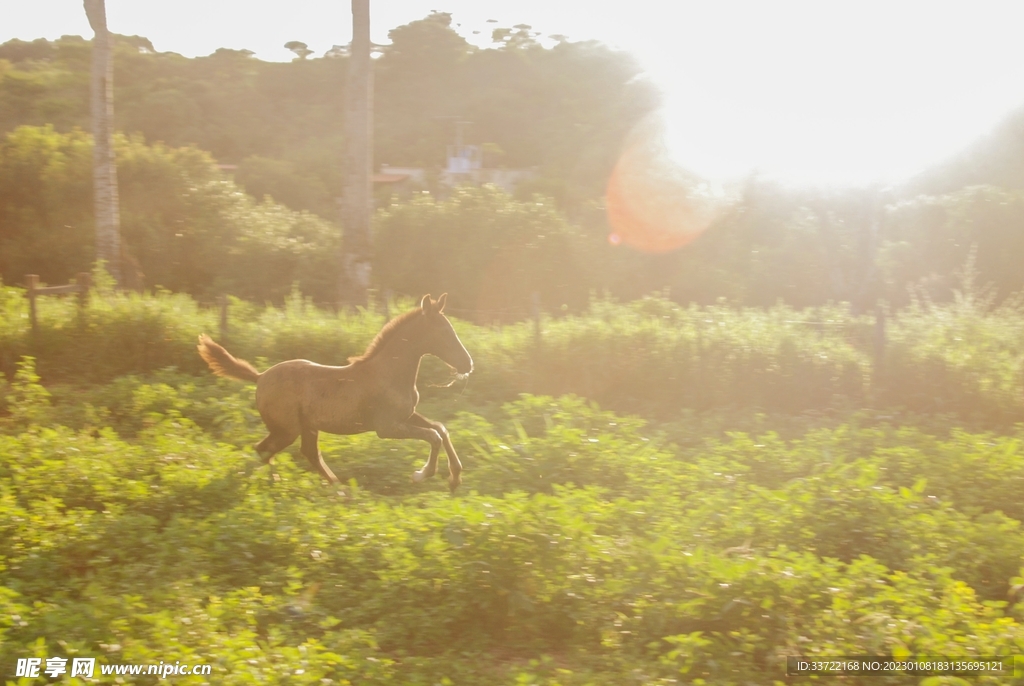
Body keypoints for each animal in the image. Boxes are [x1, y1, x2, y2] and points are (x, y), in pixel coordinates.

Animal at [197, 294, 473, 492]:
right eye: (444, 332)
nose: (467, 364)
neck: (388, 373)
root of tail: (260, 376)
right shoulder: (387, 427)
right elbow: (433, 436)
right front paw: (421, 475)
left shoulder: (406, 416)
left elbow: (440, 429)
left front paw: (455, 478)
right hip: (287, 429)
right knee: (265, 449)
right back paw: (275, 483)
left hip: (307, 427)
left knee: (306, 453)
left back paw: (337, 490)